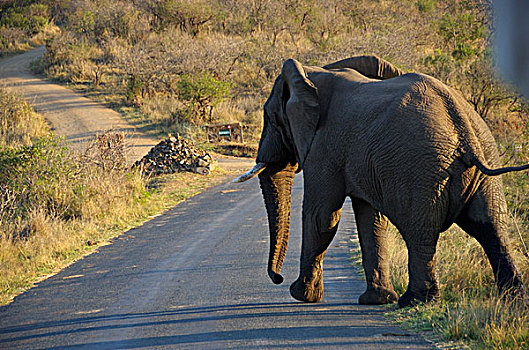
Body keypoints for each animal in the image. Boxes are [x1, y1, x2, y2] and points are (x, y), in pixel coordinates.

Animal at [235, 54, 528, 306]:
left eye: (270, 117)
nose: (277, 278)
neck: (312, 75)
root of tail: (464, 129)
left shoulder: (324, 148)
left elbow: (321, 217)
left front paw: (301, 295)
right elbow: (370, 219)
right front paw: (375, 300)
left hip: (422, 171)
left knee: (420, 232)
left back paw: (414, 301)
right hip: (485, 160)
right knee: (492, 227)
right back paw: (513, 300)